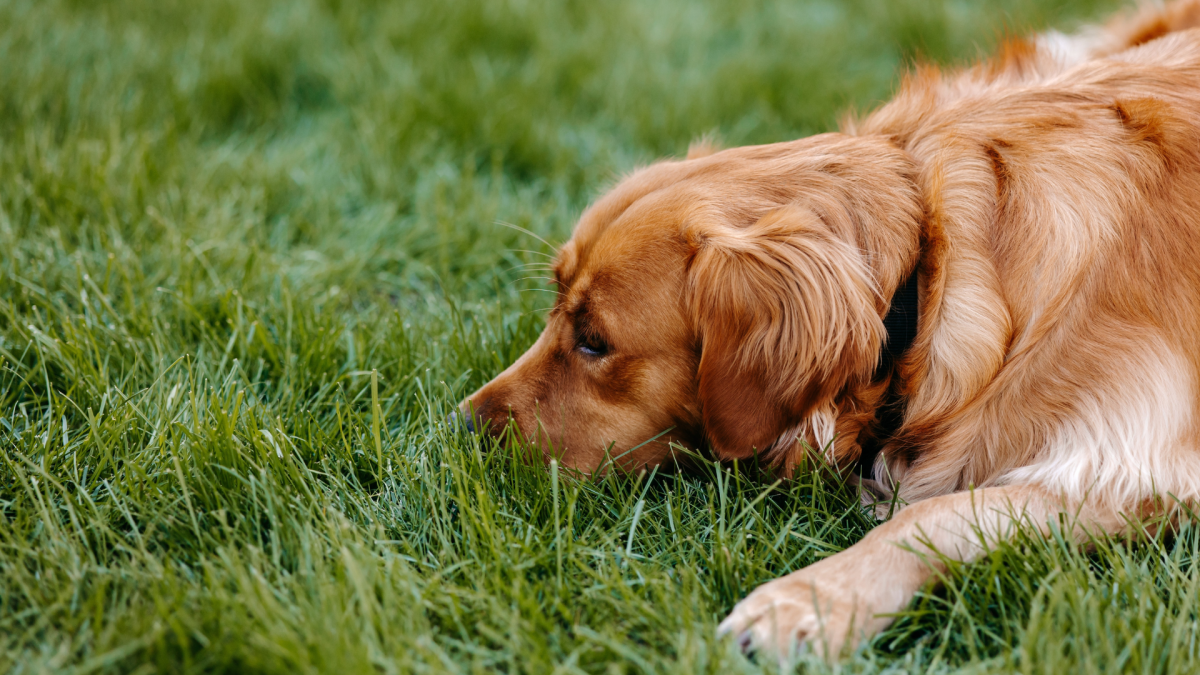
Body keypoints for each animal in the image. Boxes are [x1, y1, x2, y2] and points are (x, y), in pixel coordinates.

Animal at [458, 0, 1200, 658]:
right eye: (556, 307)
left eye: (595, 342)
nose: (460, 426)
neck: (931, 272)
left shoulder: (1141, 465)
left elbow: (937, 511)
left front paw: (806, 602)